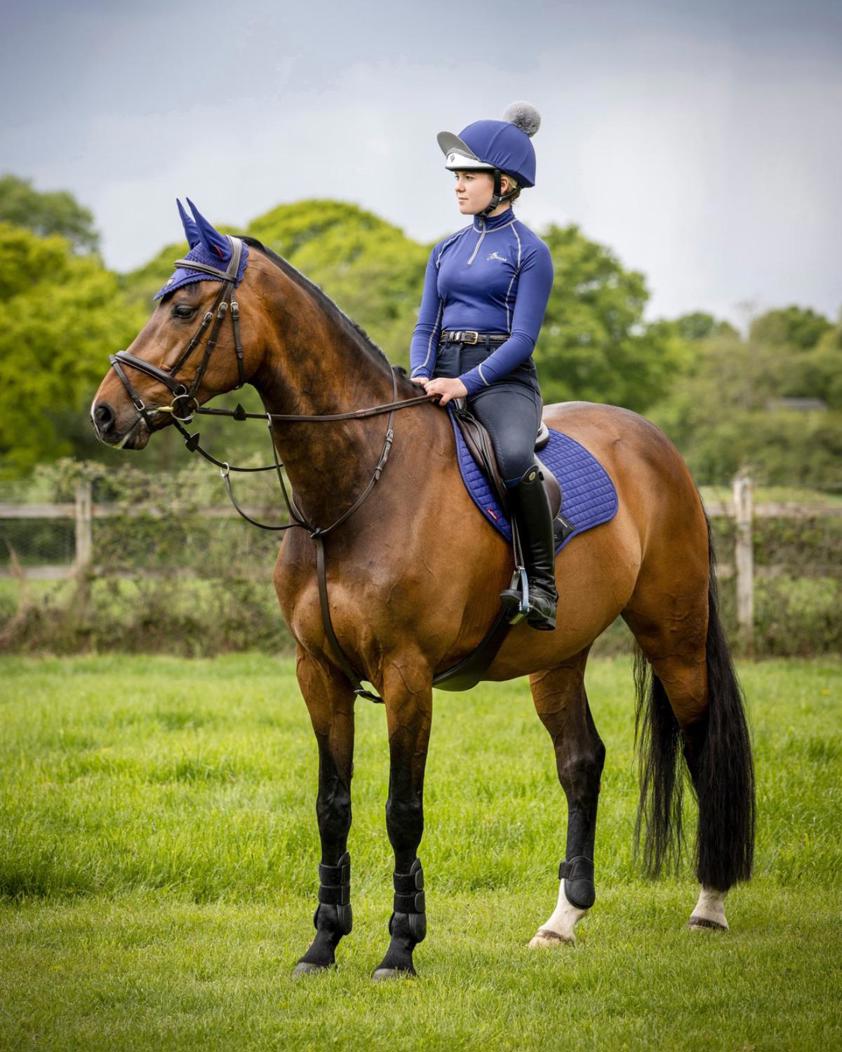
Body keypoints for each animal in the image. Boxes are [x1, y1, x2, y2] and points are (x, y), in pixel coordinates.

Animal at [92, 203, 757, 976]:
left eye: (184, 308)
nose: (106, 413)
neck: (357, 488)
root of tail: (657, 446)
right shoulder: (318, 672)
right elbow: (333, 807)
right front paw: (323, 943)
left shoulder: (406, 674)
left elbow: (401, 810)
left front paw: (400, 947)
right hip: (559, 655)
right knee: (581, 762)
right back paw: (562, 921)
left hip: (672, 635)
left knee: (702, 749)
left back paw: (709, 906)